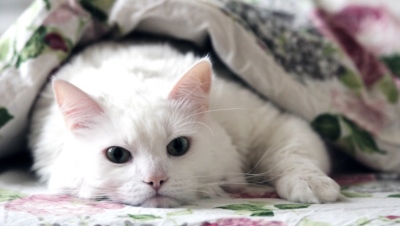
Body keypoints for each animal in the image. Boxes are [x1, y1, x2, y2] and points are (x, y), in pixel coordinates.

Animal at [28, 41, 340, 207]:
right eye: (117, 155)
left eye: (178, 146)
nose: (155, 181)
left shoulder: (276, 122)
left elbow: (291, 154)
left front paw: (312, 184)